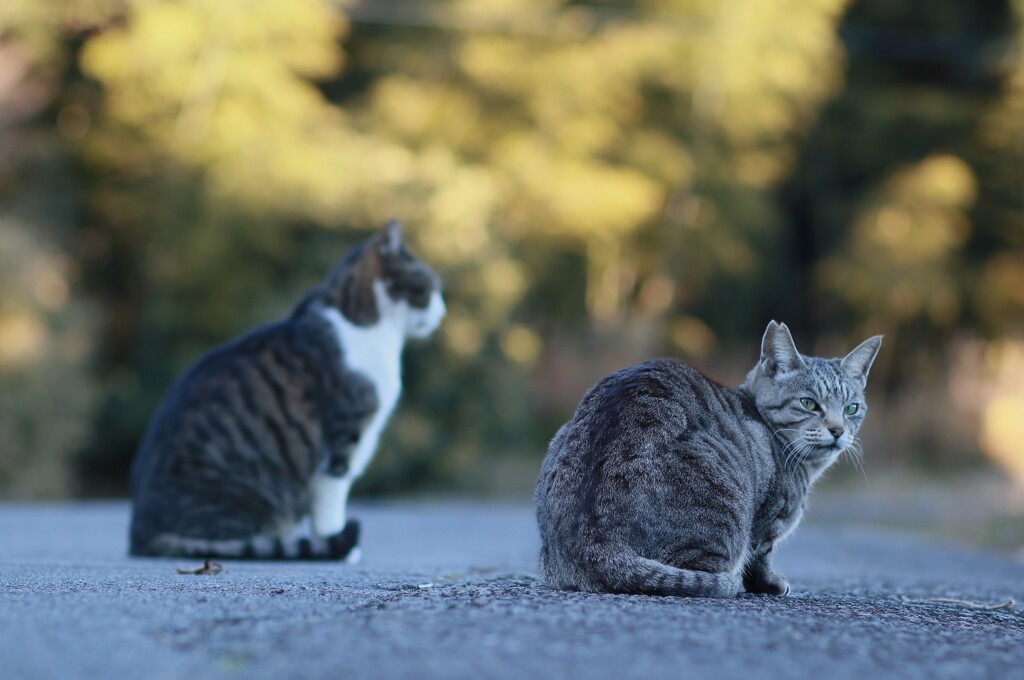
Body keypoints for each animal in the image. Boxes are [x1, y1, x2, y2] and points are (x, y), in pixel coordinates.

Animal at [130, 220, 446, 561]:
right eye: (431, 287)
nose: (442, 312)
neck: (365, 322)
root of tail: (139, 533)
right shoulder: (343, 441)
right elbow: (331, 506)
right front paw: (343, 549)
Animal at [536, 323, 880, 593]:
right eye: (809, 403)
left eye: (852, 408)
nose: (838, 430)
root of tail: (595, 542)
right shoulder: (767, 524)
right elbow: (762, 557)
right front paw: (770, 583)